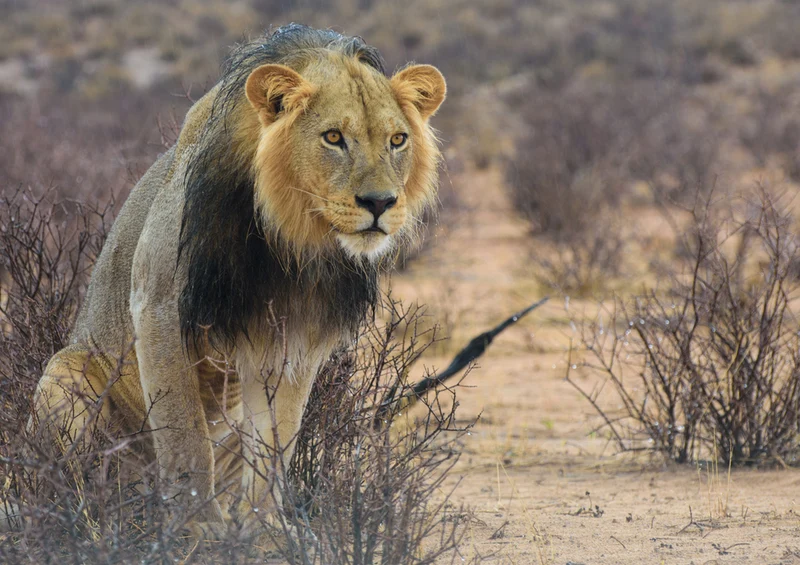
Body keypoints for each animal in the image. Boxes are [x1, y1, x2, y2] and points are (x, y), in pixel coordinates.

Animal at [21, 24, 445, 540]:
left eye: (398, 140)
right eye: (334, 137)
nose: (381, 202)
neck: (289, 238)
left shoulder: (295, 338)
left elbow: (277, 442)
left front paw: (269, 534)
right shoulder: (158, 306)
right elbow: (185, 438)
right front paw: (198, 531)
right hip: (65, 374)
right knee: (62, 485)